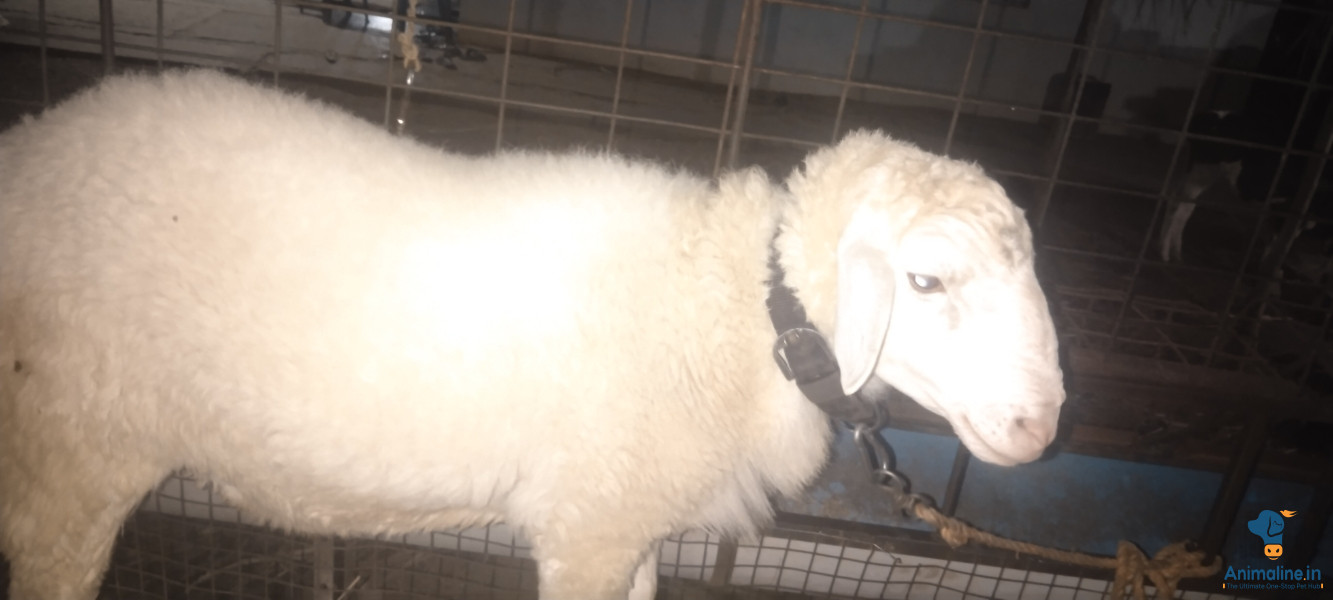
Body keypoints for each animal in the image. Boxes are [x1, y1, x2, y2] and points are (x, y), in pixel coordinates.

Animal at [0, 70, 1065, 600]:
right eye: (925, 280)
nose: (1041, 429)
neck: (725, 308)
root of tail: (30, 146)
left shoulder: (629, 520)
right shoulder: (587, 522)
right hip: (75, 441)